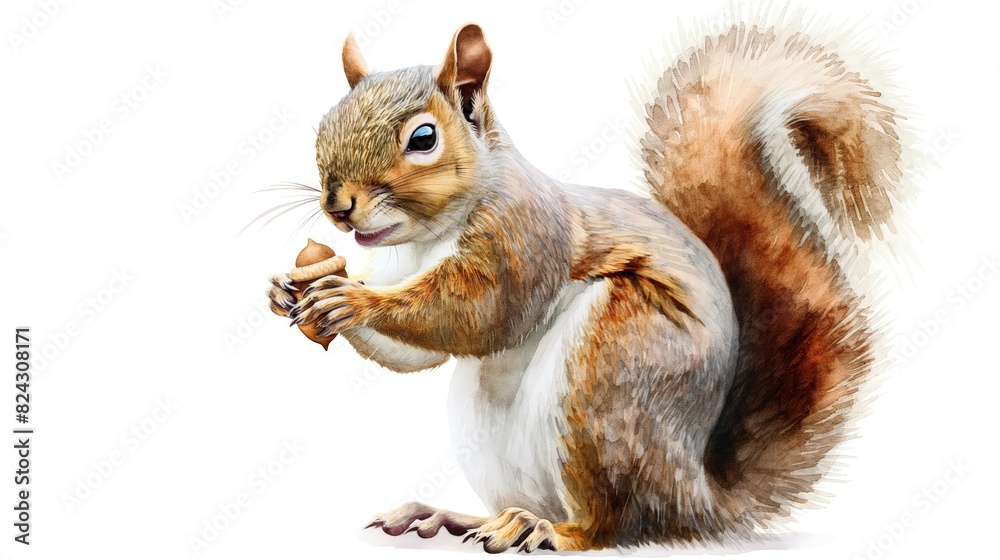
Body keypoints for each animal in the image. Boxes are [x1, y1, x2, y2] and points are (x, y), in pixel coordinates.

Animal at [267, 20, 905, 553]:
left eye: (423, 139)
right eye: (324, 126)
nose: (338, 207)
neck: (433, 237)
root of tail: (698, 497)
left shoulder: (524, 236)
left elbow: (478, 313)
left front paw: (353, 298)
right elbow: (412, 354)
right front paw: (293, 287)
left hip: (611, 377)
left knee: (617, 524)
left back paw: (546, 530)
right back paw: (458, 517)